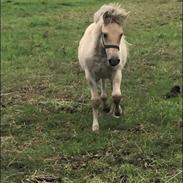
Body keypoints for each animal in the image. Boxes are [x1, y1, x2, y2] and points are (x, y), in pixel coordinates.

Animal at [78, 3, 129, 131]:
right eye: (105, 34)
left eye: (121, 34)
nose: (114, 60)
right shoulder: (90, 76)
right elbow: (95, 101)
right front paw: (95, 126)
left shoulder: (116, 72)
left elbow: (116, 95)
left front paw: (117, 112)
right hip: (101, 75)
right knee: (103, 90)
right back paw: (105, 106)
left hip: (108, 73)